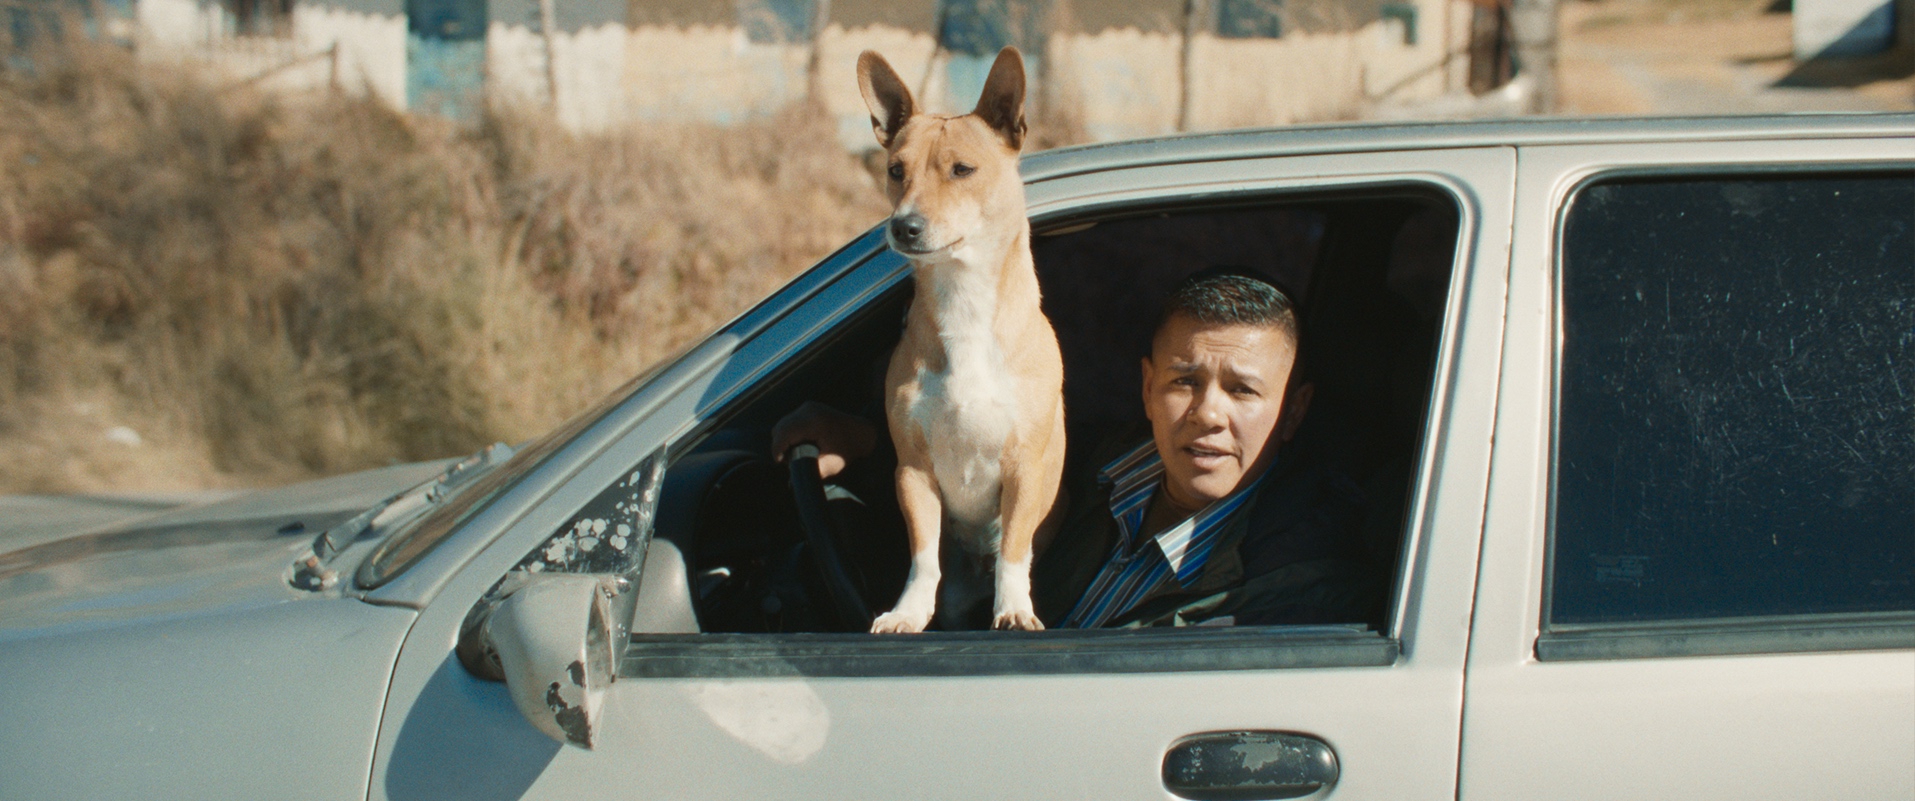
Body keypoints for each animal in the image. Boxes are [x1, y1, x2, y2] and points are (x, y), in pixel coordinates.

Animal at [861, 46, 1072, 632]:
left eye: (962, 170)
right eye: (895, 171)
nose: (903, 226)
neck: (965, 305)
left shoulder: (1024, 468)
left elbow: (1015, 550)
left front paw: (1014, 609)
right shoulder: (913, 471)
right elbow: (922, 556)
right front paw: (907, 612)